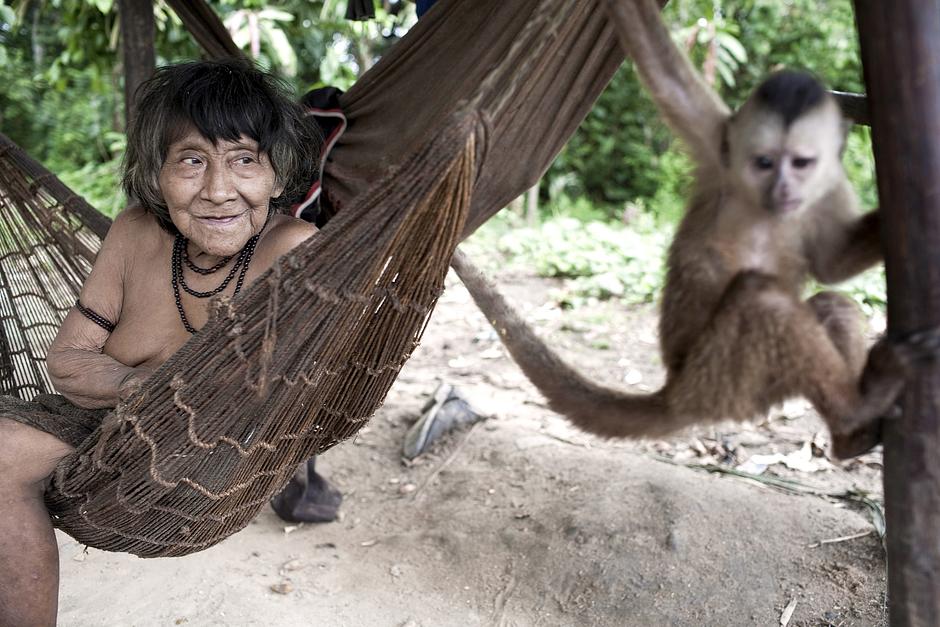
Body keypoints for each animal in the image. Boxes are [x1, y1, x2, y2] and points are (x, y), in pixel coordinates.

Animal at [452, 0, 936, 462]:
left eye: (801, 163)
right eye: (764, 162)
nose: (783, 188)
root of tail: (676, 394)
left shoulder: (830, 186)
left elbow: (832, 264)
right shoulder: (715, 145)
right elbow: (661, 72)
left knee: (828, 305)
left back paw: (851, 432)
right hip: (721, 381)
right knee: (761, 297)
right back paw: (858, 405)